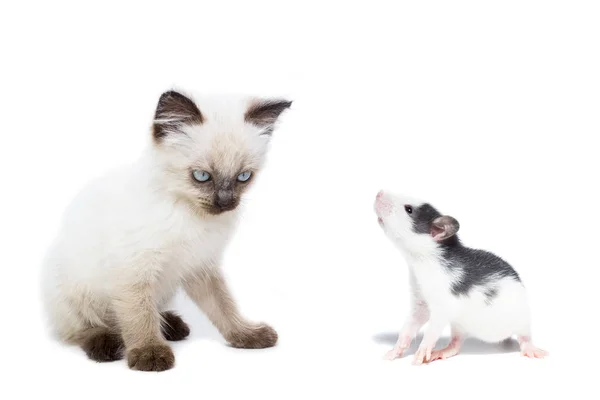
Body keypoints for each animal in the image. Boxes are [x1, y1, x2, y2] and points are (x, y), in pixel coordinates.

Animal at [41, 90, 292, 372]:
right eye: (202, 176)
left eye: (243, 177)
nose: (226, 202)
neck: (190, 215)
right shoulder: (133, 271)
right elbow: (139, 317)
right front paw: (149, 353)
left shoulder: (201, 265)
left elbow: (223, 307)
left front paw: (246, 335)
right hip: (74, 294)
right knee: (83, 328)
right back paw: (107, 344)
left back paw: (171, 326)